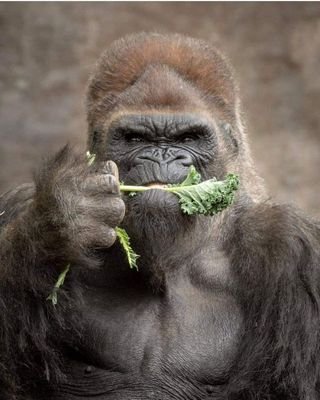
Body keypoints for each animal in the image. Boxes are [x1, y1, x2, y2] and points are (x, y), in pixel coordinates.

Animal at [0, 32, 320, 400]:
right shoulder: (17, 205)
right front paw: (60, 222)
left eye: (189, 137)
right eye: (135, 138)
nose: (161, 155)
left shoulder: (291, 248)